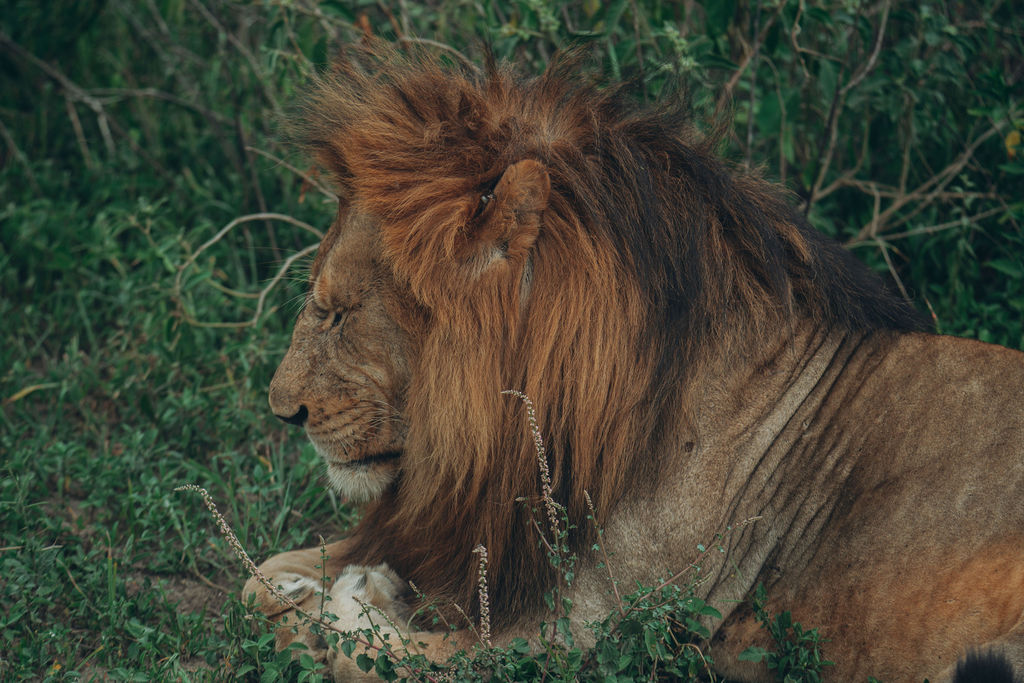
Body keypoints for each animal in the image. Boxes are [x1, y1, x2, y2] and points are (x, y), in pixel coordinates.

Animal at [244, 49, 1024, 682]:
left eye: (336, 312)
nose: (284, 411)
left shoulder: (580, 634)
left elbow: (370, 651)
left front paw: (354, 599)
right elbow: (259, 576)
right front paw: (311, 596)